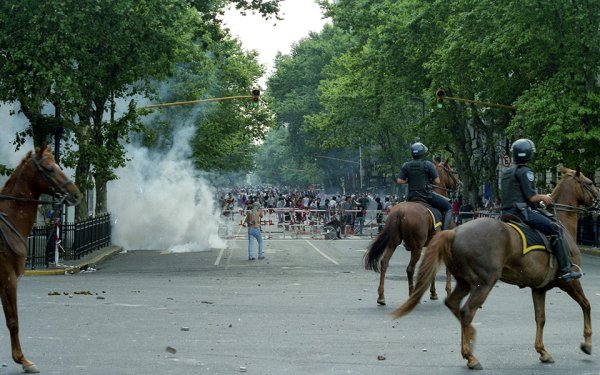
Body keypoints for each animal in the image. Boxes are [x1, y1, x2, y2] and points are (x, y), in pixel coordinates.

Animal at [366, 159, 460, 306]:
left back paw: (381, 296)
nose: (459, 184)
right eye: (452, 170)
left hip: (393, 243)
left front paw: (433, 292)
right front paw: (447, 291)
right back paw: (412, 295)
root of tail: (400, 211)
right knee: (410, 268)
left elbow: (431, 267)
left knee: (384, 263)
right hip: (417, 247)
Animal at [394, 167, 600, 370]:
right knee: (467, 311)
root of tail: (454, 231)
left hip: (465, 282)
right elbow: (586, 305)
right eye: (589, 183)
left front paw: (542, 351)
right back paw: (471, 356)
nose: (598, 201)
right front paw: (587, 343)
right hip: (484, 283)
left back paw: (469, 340)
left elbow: (540, 318)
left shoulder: (539, 288)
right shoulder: (570, 282)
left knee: (453, 304)